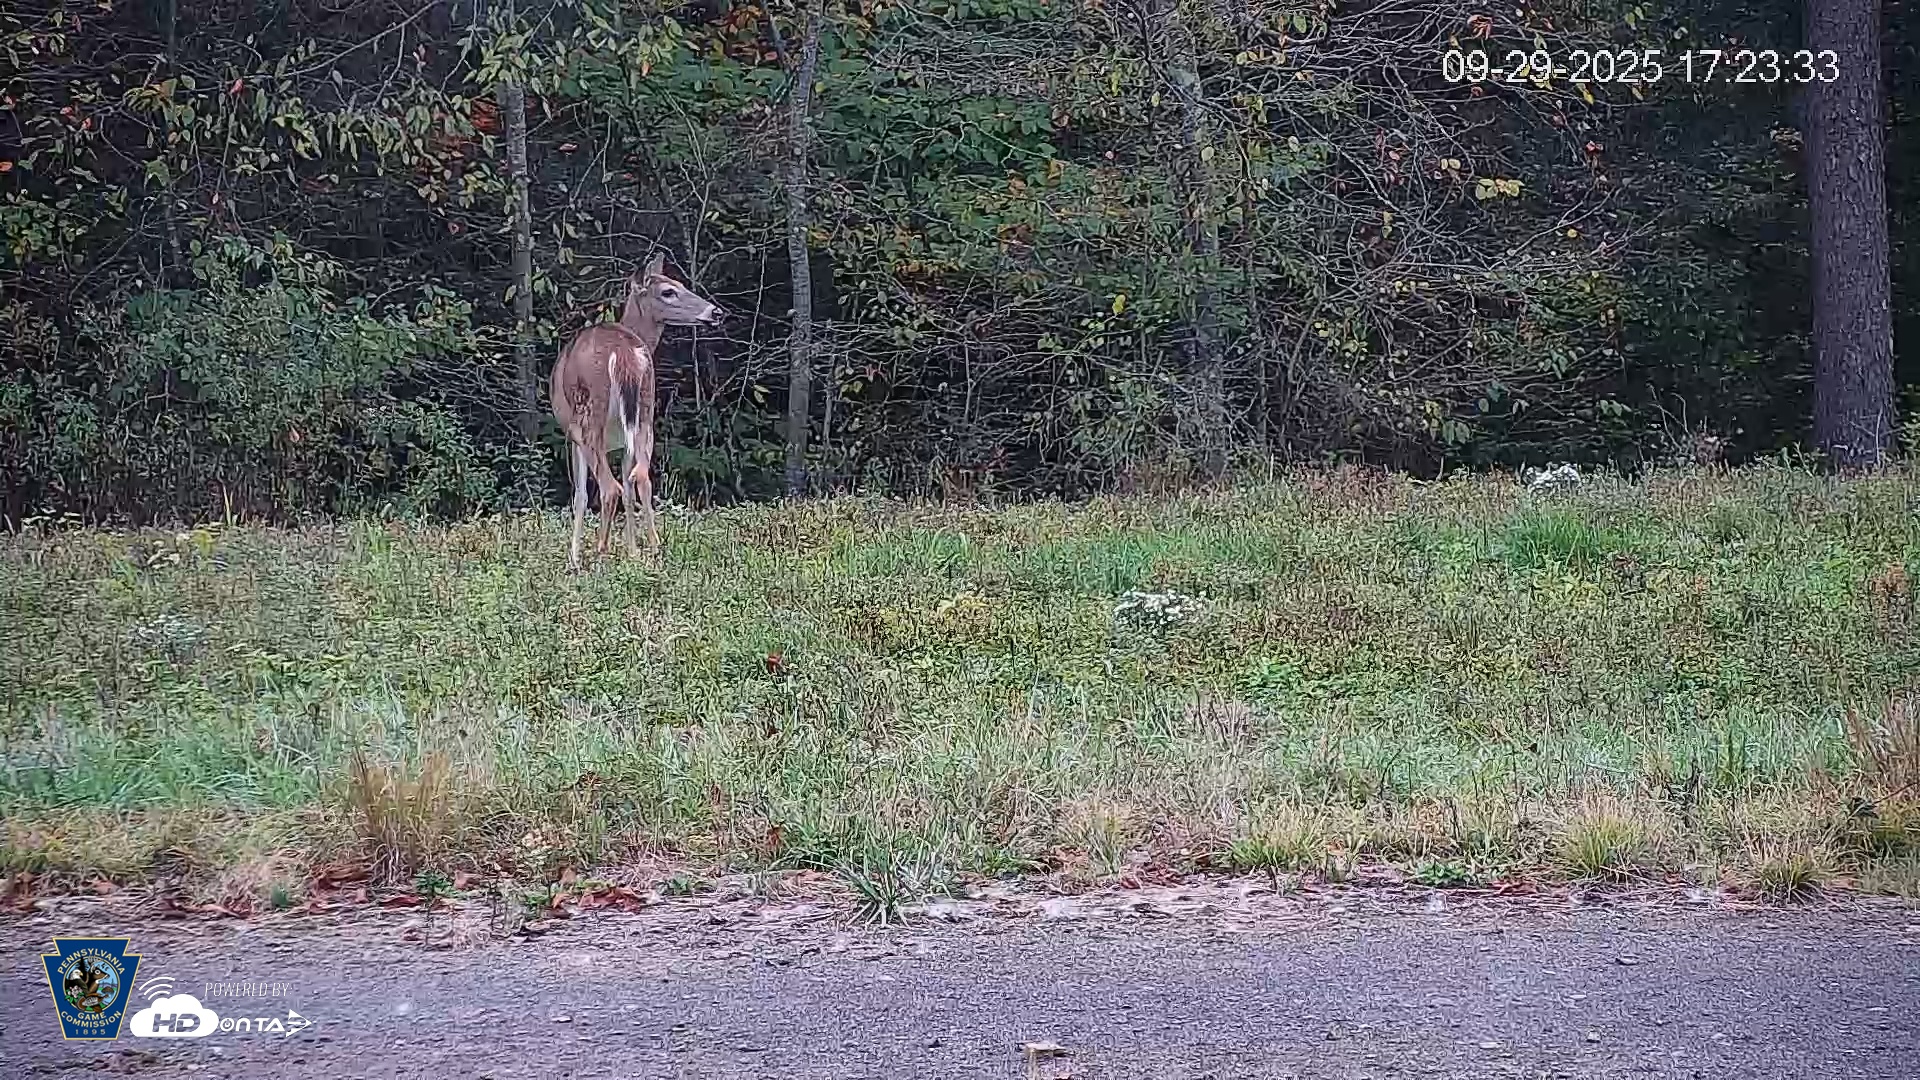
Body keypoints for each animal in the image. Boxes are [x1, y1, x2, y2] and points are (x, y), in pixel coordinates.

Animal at [550, 251, 725, 571]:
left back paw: (600, 555)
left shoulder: (571, 434)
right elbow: (630, 485)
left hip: (590, 419)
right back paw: (654, 547)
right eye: (669, 290)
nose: (715, 312)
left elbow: (580, 495)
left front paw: (574, 559)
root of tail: (624, 353)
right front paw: (633, 552)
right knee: (640, 477)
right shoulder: (623, 438)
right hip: (645, 412)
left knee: (610, 488)